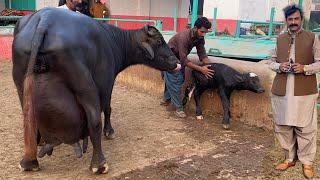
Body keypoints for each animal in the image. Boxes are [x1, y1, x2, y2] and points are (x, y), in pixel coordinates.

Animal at [12, 7, 180, 174]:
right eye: (159, 41)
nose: (177, 62)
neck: (114, 41)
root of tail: (44, 19)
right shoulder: (107, 82)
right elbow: (107, 108)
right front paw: (109, 131)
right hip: (85, 84)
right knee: (94, 121)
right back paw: (99, 164)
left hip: (21, 84)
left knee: (28, 116)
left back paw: (31, 157)